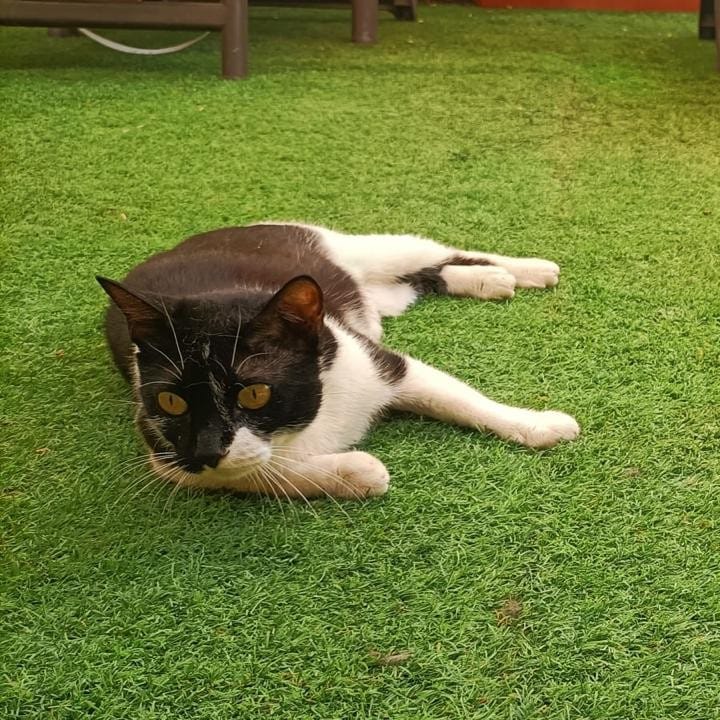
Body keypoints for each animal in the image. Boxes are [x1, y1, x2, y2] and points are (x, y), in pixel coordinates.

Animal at [98, 223, 580, 501]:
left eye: (255, 394)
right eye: (172, 402)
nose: (207, 448)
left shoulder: (380, 363)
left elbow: (464, 401)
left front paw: (540, 425)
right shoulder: (164, 452)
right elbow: (253, 473)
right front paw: (358, 471)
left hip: (361, 248)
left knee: (434, 251)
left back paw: (528, 268)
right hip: (386, 295)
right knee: (424, 277)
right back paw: (486, 280)